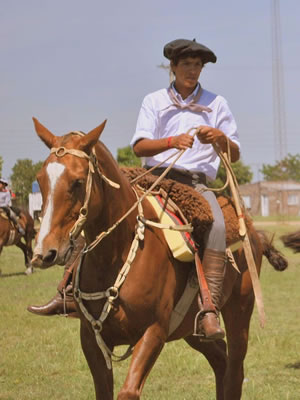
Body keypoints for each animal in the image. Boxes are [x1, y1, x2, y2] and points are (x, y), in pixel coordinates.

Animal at [31, 118, 288, 400]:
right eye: (40, 180)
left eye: (77, 182)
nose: (44, 252)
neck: (116, 256)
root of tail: (251, 230)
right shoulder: (90, 339)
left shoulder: (153, 332)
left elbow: (128, 392)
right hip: (191, 329)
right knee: (221, 361)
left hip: (240, 310)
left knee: (234, 370)